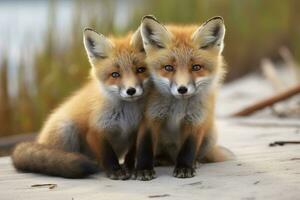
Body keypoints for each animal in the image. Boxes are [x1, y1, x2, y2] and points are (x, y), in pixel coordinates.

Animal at [12, 27, 149, 179]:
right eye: (115, 74)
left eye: (140, 70)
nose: (131, 91)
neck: (126, 116)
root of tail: (40, 141)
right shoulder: (95, 130)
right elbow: (107, 155)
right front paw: (115, 171)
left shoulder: (137, 129)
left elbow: (132, 153)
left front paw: (131, 168)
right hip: (66, 129)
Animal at [135, 16, 233, 181]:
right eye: (168, 67)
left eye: (196, 67)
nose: (182, 89)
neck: (178, 108)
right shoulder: (150, 116)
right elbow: (144, 147)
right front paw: (144, 169)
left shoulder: (195, 120)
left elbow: (188, 148)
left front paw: (185, 167)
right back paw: (159, 160)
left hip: (210, 135)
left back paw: (194, 163)